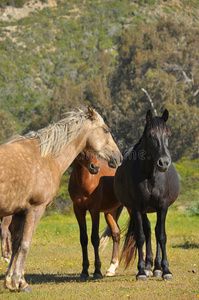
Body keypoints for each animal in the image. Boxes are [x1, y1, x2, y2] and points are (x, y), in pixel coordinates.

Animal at [68, 150, 124, 278]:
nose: (95, 167)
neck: (84, 181)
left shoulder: (94, 210)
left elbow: (95, 238)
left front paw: (97, 271)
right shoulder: (78, 210)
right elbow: (83, 238)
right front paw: (84, 271)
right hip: (110, 212)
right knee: (116, 233)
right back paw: (111, 268)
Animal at [113, 109, 180, 282]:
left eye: (168, 133)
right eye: (150, 135)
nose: (164, 163)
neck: (150, 175)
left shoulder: (163, 206)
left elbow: (162, 235)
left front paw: (166, 270)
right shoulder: (136, 207)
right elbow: (141, 236)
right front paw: (142, 271)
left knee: (156, 231)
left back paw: (157, 268)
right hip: (140, 210)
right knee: (148, 230)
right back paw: (150, 267)